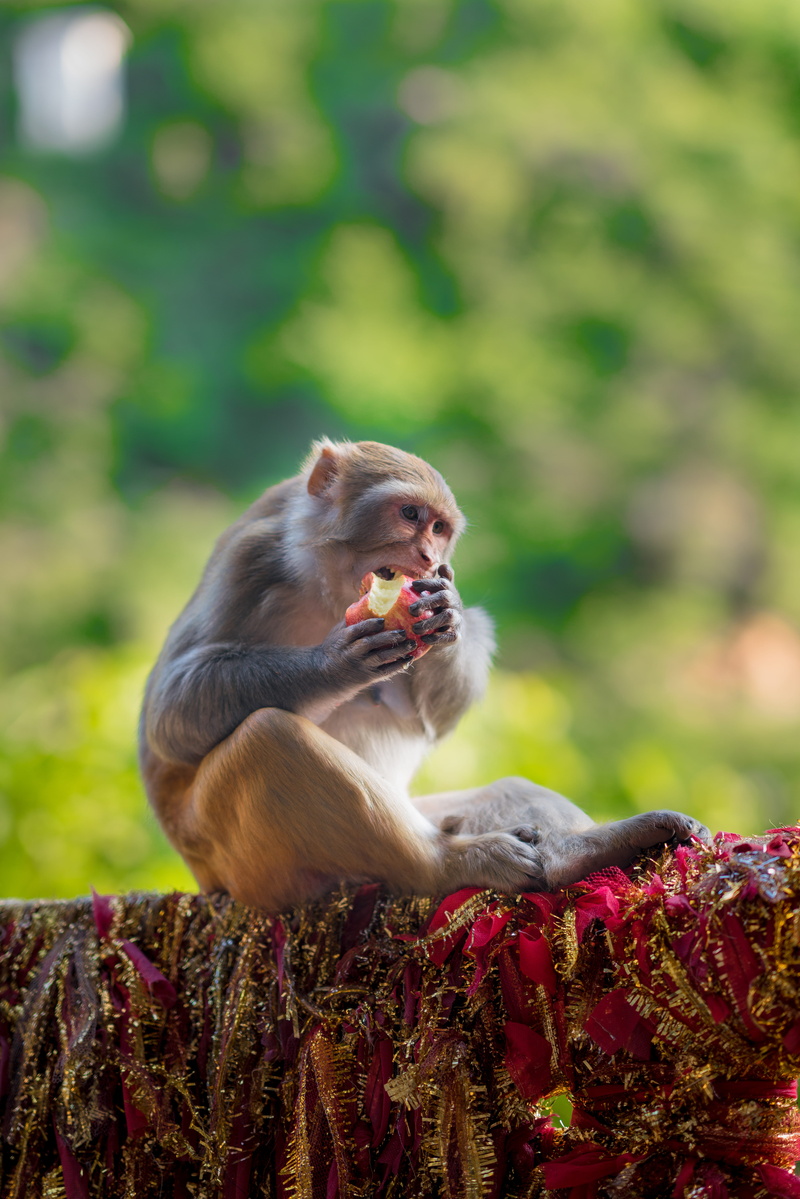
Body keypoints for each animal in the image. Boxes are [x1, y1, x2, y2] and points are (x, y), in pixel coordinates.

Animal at [139, 439, 707, 911]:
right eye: (410, 513)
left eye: (439, 529)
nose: (428, 555)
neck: (326, 584)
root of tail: (207, 880)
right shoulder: (250, 558)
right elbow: (170, 715)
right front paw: (338, 663)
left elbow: (435, 718)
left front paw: (446, 613)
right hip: (248, 869)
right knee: (267, 738)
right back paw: (453, 865)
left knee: (500, 793)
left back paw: (580, 851)